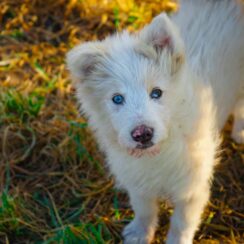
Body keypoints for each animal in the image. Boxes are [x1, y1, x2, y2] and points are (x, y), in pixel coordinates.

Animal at [66, 0, 244, 243]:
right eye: (117, 99)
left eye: (156, 93)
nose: (142, 134)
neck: (158, 153)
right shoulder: (138, 181)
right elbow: (144, 210)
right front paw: (139, 234)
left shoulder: (192, 189)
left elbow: (181, 224)